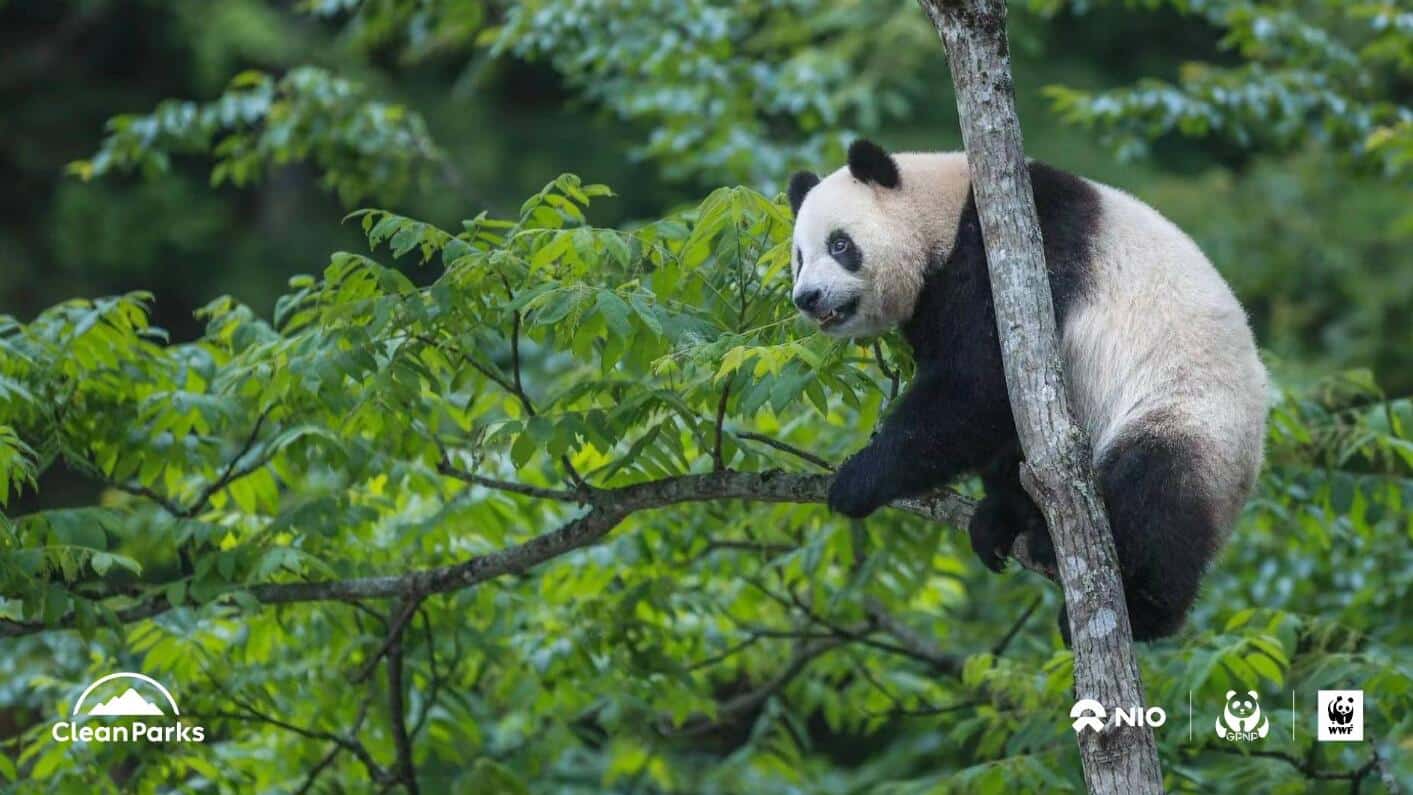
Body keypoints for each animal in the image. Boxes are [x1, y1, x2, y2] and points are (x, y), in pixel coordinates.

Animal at [788, 139, 1268, 641]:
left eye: (840, 245)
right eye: (799, 257)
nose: (808, 298)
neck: (942, 211)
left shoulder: (1015, 254)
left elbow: (979, 385)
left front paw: (856, 480)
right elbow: (989, 410)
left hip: (1192, 414)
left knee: (1156, 491)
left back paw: (1144, 609)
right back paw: (1009, 522)